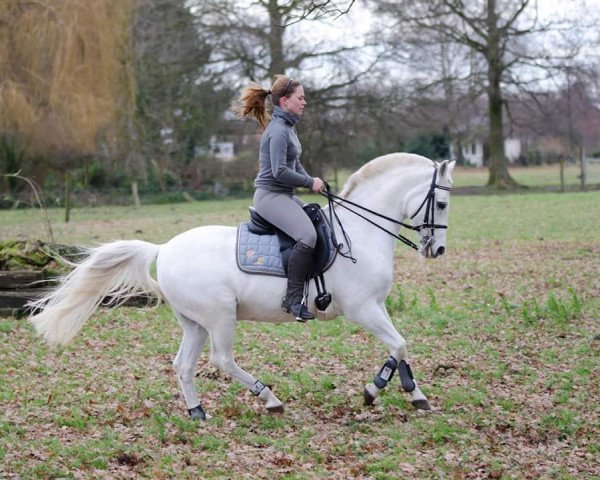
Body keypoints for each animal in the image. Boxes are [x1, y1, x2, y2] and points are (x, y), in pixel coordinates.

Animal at [29, 154, 454, 420]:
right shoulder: (362, 308)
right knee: (222, 360)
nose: (437, 250)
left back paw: (197, 413)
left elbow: (400, 345)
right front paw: (376, 389)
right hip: (220, 316)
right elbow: (397, 344)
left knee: (183, 365)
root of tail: (163, 248)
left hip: (194, 322)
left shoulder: (376, 306)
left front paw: (410, 392)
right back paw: (270, 399)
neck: (359, 234)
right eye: (443, 204)